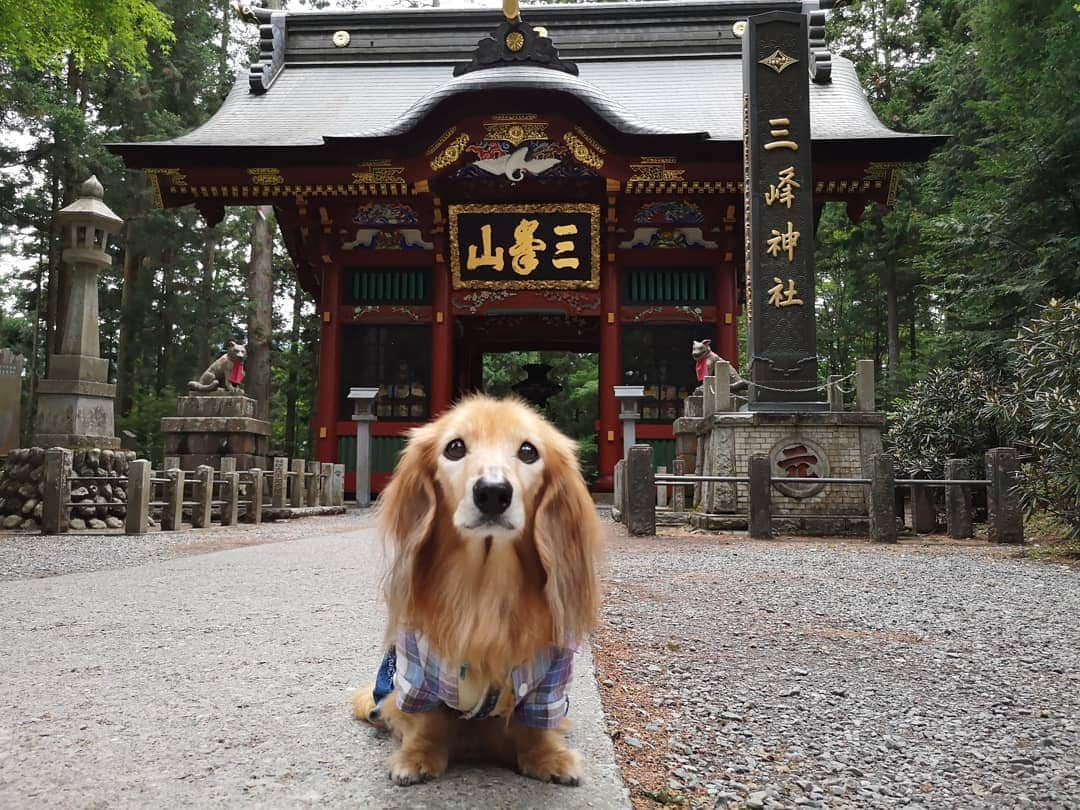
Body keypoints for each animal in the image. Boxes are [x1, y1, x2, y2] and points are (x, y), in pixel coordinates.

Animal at [352, 397, 600, 790]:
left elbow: (536, 724)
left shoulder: (552, 674)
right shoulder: (416, 672)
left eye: (528, 451)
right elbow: (427, 719)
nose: (493, 493)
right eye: (455, 447)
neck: (484, 585)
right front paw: (418, 755)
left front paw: (547, 756)